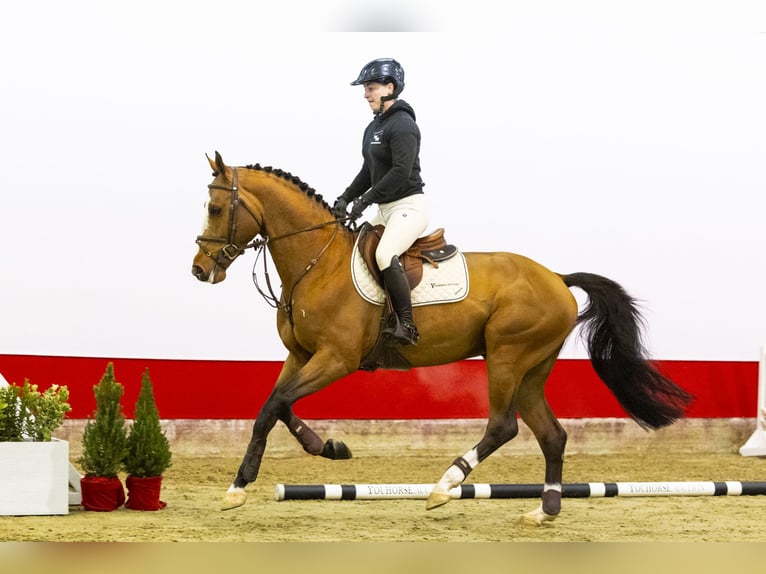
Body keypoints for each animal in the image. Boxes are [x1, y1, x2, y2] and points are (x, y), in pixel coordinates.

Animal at [192, 152, 696, 528]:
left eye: (215, 209)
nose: (199, 269)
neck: (318, 263)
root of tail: (556, 277)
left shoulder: (336, 358)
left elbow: (273, 406)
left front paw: (242, 486)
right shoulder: (301, 356)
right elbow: (275, 405)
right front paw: (323, 450)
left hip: (507, 357)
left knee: (503, 426)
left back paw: (444, 486)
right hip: (532, 368)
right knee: (552, 434)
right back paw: (544, 510)